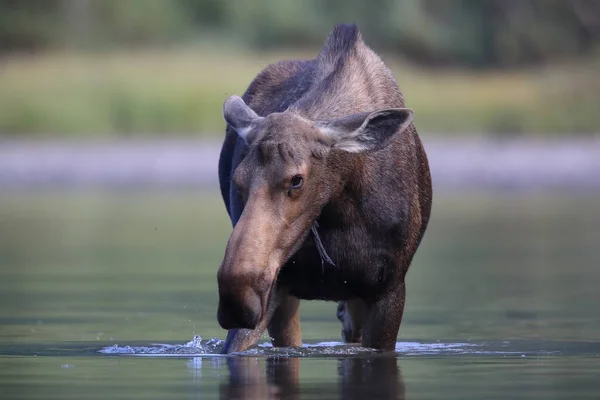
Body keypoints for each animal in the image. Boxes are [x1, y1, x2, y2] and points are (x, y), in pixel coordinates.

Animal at [216, 23, 432, 354]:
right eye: (237, 180)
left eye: (297, 179)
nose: (236, 299)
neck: (341, 212)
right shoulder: (277, 287)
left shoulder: (389, 287)